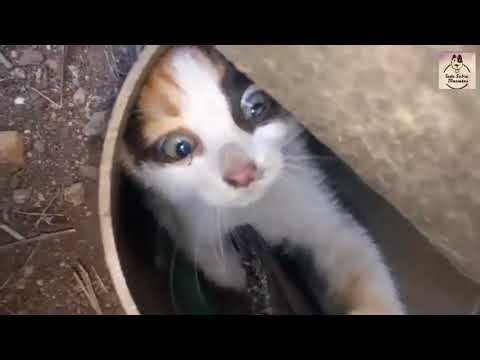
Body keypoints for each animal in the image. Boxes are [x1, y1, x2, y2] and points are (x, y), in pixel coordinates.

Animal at [120, 45, 404, 316]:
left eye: (256, 106)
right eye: (180, 148)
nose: (243, 173)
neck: (257, 209)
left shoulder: (314, 193)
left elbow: (353, 247)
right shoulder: (183, 216)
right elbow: (215, 262)